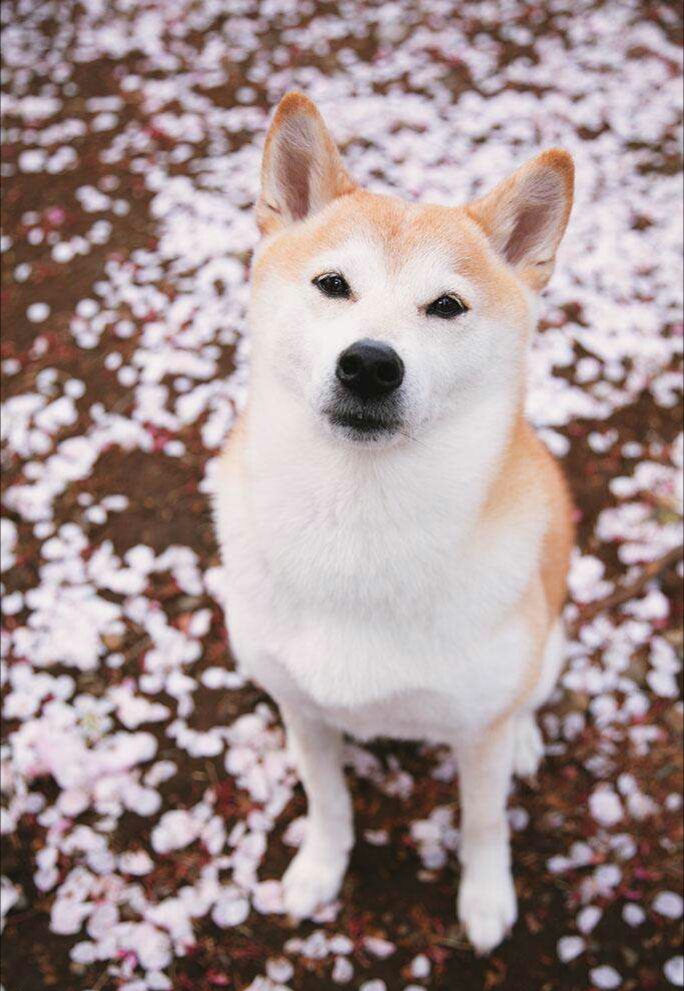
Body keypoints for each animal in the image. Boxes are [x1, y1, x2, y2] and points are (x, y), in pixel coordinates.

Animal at [215, 91, 576, 952]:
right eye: (332, 283)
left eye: (446, 305)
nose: (371, 364)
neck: (360, 524)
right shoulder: (303, 710)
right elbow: (327, 800)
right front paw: (319, 869)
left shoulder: (477, 734)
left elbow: (484, 823)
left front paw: (485, 898)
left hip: (547, 643)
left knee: (529, 698)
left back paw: (528, 737)